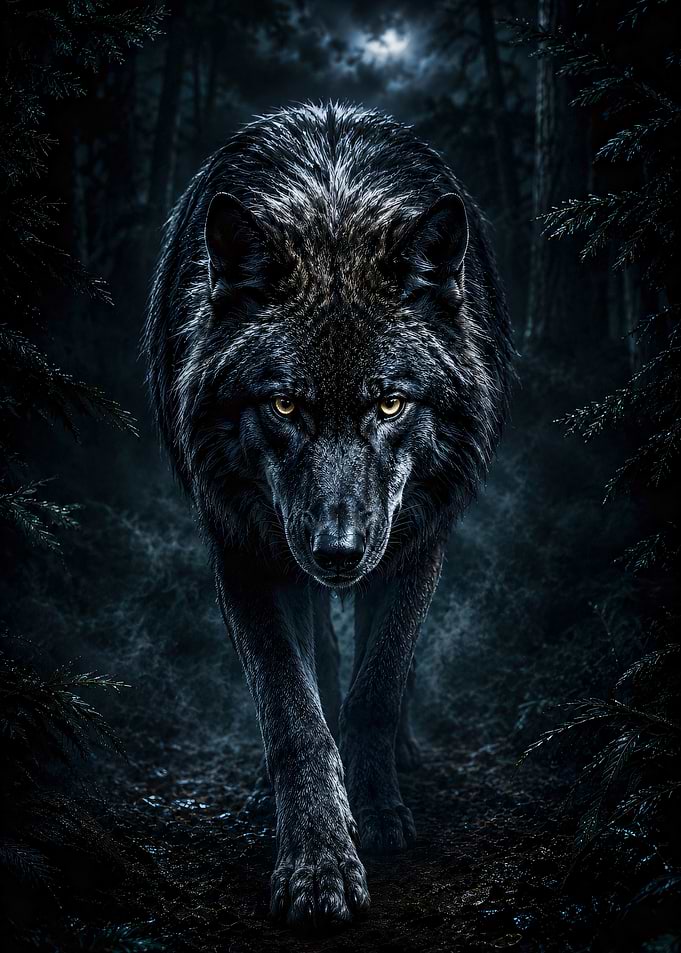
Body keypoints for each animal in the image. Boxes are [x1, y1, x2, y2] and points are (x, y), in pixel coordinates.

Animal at [144, 102, 512, 928]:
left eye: (390, 403)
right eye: (285, 405)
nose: (337, 550)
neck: (333, 206)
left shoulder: (417, 540)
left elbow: (377, 685)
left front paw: (377, 813)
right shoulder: (245, 550)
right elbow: (292, 715)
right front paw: (317, 858)